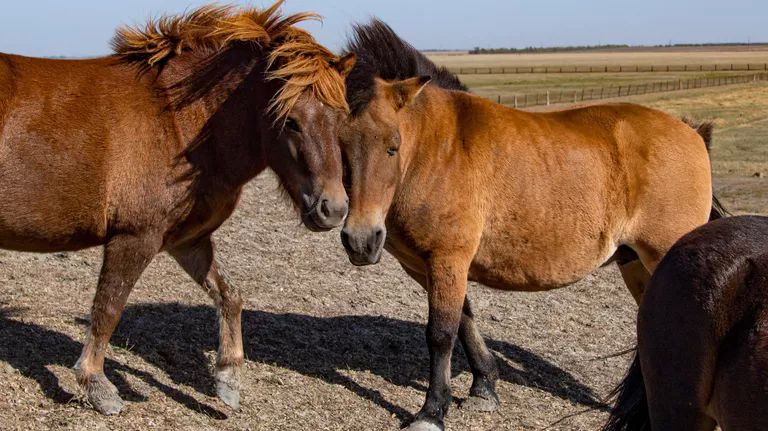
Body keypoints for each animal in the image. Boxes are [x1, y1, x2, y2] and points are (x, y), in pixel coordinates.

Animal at [0, 1, 354, 416]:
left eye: (342, 118)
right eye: (292, 121)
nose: (333, 208)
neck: (178, 122)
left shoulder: (188, 240)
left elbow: (229, 296)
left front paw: (228, 379)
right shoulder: (135, 237)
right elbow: (107, 310)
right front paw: (97, 385)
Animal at [340, 21, 724, 431]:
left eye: (392, 146)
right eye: (341, 145)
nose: (361, 240)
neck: (436, 148)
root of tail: (693, 134)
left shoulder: (447, 258)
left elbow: (441, 334)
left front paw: (431, 412)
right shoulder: (426, 265)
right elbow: (464, 320)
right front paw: (484, 389)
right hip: (635, 263)